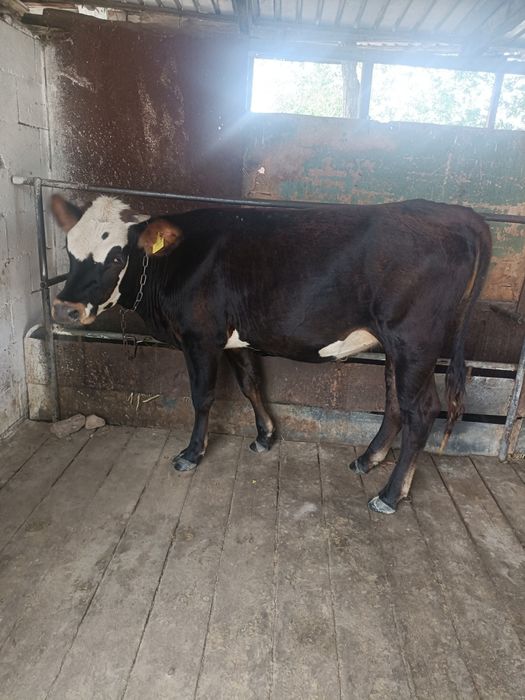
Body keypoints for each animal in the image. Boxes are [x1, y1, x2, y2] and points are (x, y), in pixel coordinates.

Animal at [50, 195, 491, 514]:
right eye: (69, 250)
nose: (66, 308)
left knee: (422, 410)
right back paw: (368, 459)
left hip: (414, 340)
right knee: (395, 401)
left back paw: (390, 494)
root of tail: (456, 212)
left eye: (116, 256)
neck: (172, 265)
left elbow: (203, 397)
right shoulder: (234, 339)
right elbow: (250, 384)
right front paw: (264, 436)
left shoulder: (200, 338)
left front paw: (192, 453)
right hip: (396, 347)